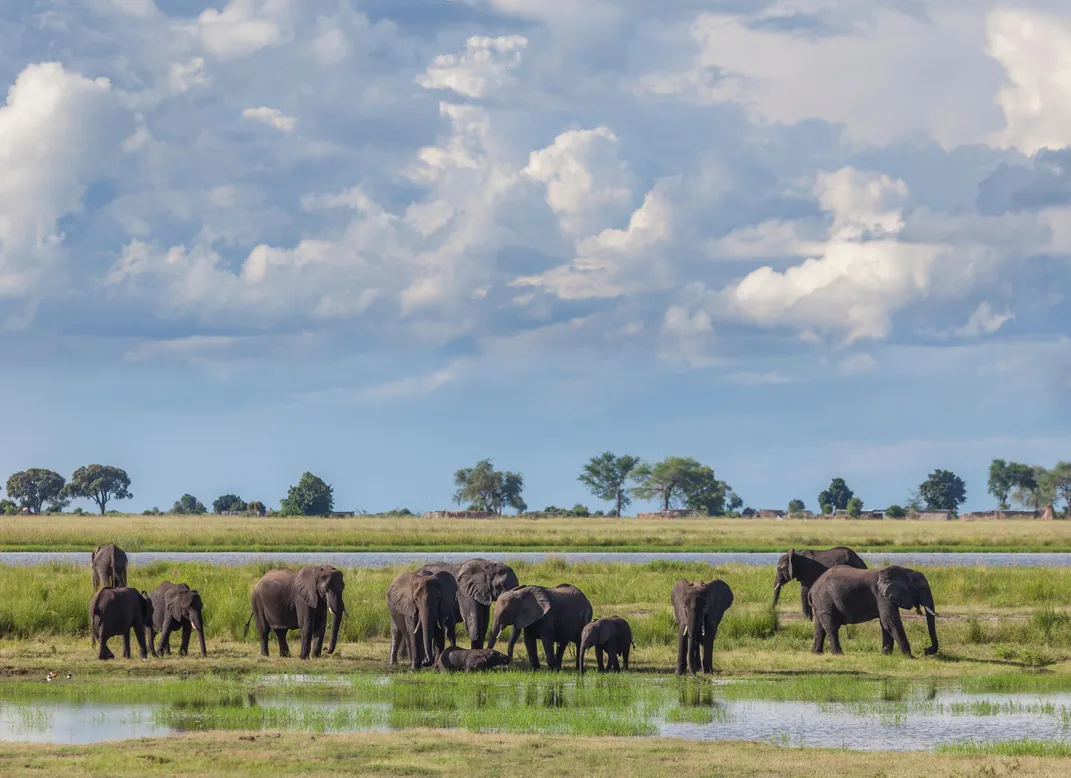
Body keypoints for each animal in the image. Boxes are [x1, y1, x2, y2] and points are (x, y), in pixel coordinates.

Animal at [807, 565, 939, 656]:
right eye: (920, 588)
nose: (926, 650)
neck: (904, 571)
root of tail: (812, 588)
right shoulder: (881, 595)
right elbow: (890, 621)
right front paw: (910, 657)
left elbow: (885, 623)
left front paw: (886, 655)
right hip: (825, 599)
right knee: (832, 627)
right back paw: (838, 654)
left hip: (820, 602)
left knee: (820, 627)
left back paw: (816, 653)